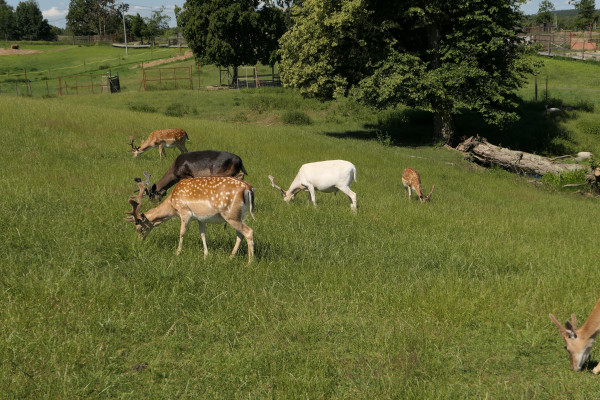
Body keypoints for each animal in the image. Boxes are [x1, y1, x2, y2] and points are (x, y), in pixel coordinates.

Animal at [126, 175, 255, 262]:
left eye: (139, 228)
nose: (138, 242)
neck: (172, 204)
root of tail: (248, 188)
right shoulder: (200, 218)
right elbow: (202, 234)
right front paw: (206, 255)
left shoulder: (184, 212)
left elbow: (182, 232)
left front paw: (177, 252)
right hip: (240, 215)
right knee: (240, 234)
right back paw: (230, 257)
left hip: (231, 215)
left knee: (248, 231)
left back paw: (250, 263)